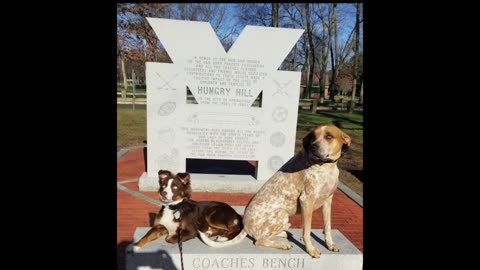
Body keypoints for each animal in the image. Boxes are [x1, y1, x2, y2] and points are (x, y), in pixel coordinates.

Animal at [199, 125, 352, 258]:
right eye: (312, 137)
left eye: (329, 136)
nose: (313, 146)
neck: (327, 166)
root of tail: (244, 226)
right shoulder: (307, 200)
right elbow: (307, 231)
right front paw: (311, 249)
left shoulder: (328, 200)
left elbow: (327, 226)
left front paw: (330, 244)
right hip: (282, 214)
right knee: (259, 240)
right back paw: (282, 244)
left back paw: (284, 234)